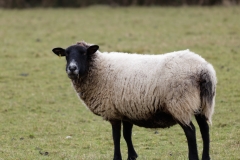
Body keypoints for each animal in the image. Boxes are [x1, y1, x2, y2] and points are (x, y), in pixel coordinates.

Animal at [52, 41, 218, 160]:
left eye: (84, 53)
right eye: (66, 54)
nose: (72, 68)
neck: (99, 69)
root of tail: (203, 69)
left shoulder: (113, 112)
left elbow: (116, 137)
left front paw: (117, 157)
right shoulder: (126, 110)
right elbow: (127, 135)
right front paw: (132, 156)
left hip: (180, 103)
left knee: (191, 132)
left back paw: (193, 157)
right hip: (201, 104)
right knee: (205, 129)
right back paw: (206, 157)